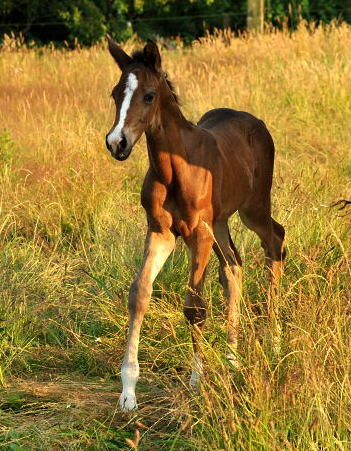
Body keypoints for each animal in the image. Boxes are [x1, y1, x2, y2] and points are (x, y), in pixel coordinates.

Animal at [104, 39, 286, 414]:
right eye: (115, 93)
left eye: (148, 95)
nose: (117, 143)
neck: (174, 167)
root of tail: (256, 121)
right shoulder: (160, 233)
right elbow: (139, 294)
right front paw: (128, 390)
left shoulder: (197, 235)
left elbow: (195, 307)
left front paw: (196, 381)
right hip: (221, 222)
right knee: (233, 266)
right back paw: (232, 360)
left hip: (253, 208)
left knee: (275, 240)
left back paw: (274, 343)